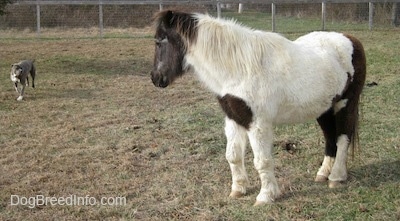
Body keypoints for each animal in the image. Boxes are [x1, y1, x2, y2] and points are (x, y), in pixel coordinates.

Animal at [150, 9, 366, 205]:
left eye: (159, 41)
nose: (155, 78)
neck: (238, 68)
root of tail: (352, 40)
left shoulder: (258, 123)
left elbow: (262, 160)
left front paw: (266, 196)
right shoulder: (234, 118)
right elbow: (233, 156)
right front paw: (238, 189)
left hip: (345, 104)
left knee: (343, 138)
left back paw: (336, 177)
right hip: (324, 109)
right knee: (330, 138)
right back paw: (322, 174)